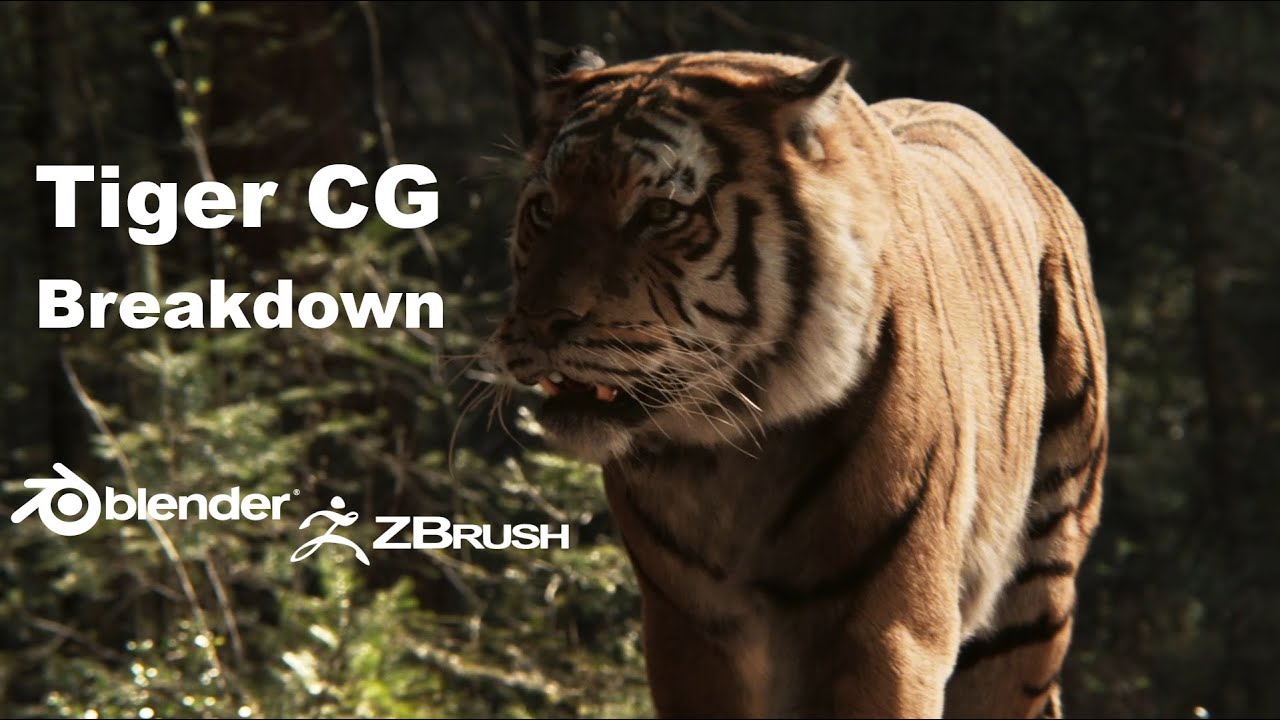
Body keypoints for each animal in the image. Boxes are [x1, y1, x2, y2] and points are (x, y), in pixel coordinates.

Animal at [487, 46, 1108, 719]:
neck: (731, 453)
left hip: (1033, 589)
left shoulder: (887, 630)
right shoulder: (689, 630)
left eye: (659, 213)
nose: (541, 320)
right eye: (544, 208)